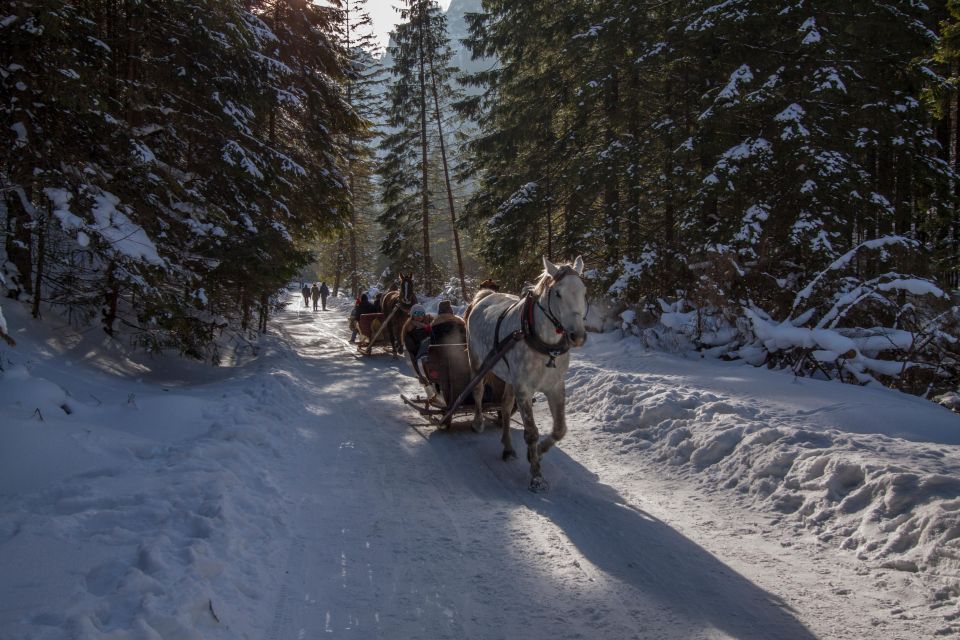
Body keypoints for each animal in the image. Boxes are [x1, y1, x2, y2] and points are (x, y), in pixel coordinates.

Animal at [468, 255, 588, 490]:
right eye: (558, 293)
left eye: (584, 290)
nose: (577, 335)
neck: (545, 346)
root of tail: (484, 296)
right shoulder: (524, 389)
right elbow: (531, 432)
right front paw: (536, 475)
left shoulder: (555, 386)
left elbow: (559, 429)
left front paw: (538, 453)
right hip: (478, 362)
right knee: (477, 390)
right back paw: (478, 421)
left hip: (508, 377)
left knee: (505, 407)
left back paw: (507, 447)